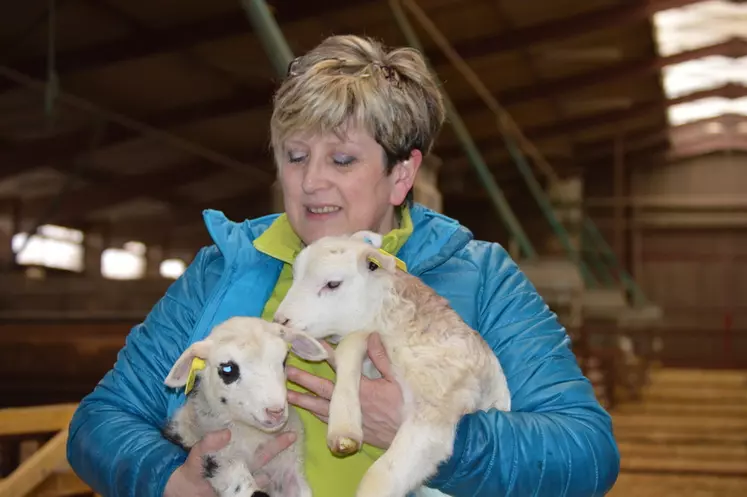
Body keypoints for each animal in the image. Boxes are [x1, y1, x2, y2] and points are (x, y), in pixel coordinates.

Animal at [164, 316, 328, 494]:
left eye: (284, 361)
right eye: (228, 369)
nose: (276, 412)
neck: (252, 434)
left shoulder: (289, 467)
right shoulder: (220, 457)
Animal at [274, 231, 516, 494]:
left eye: (333, 284)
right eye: (295, 277)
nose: (280, 320)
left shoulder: (436, 408)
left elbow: (380, 477)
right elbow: (349, 348)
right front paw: (344, 429)